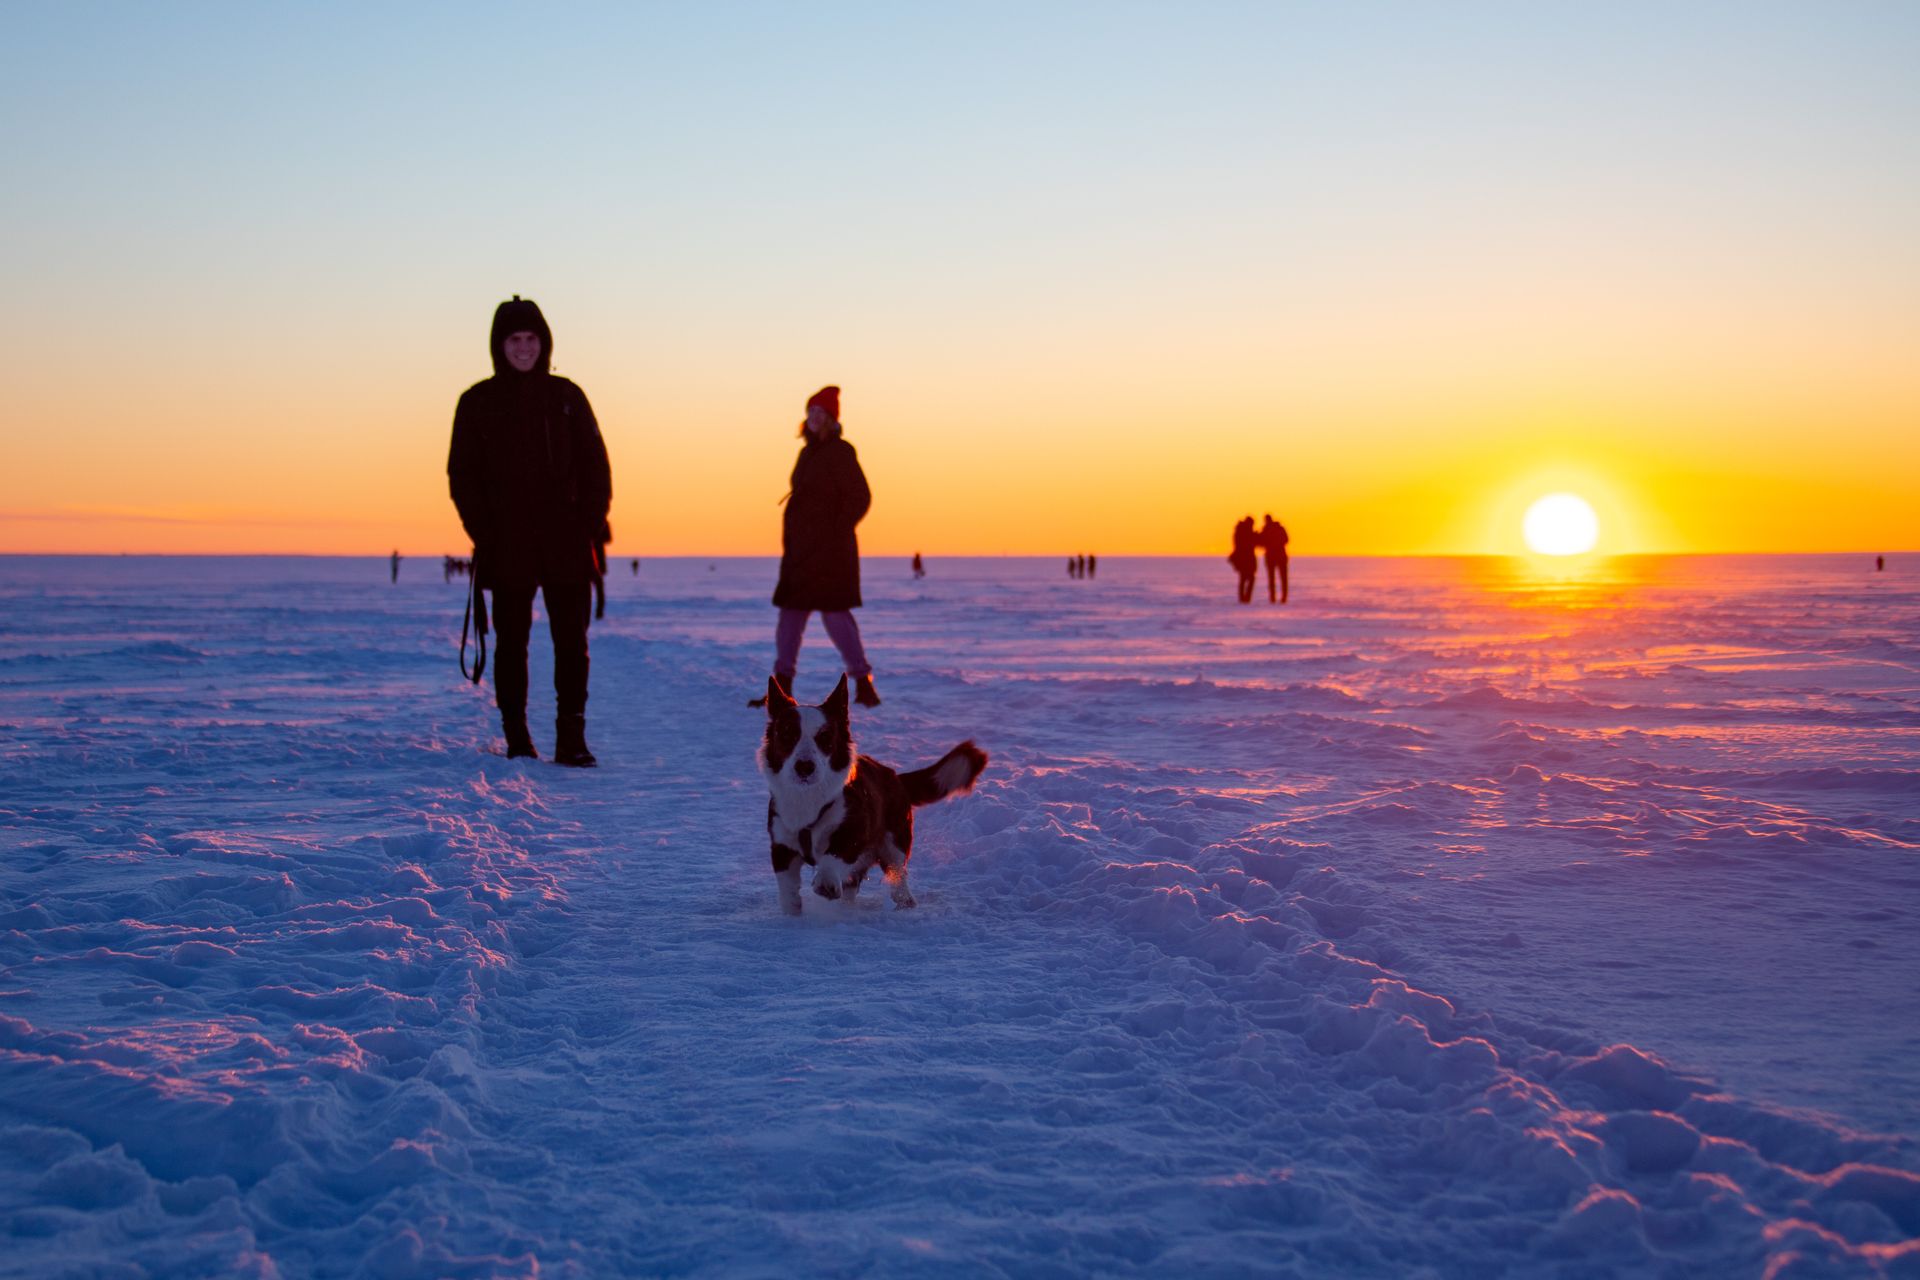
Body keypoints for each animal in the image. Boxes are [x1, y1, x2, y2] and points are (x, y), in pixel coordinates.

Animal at [756, 675, 990, 917]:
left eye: (825, 737)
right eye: (788, 735)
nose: (804, 767)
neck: (809, 796)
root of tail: (895, 777)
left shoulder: (854, 832)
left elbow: (833, 856)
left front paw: (826, 882)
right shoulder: (782, 846)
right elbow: (788, 887)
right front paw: (792, 916)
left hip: (894, 843)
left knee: (897, 877)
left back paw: (904, 904)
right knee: (852, 883)